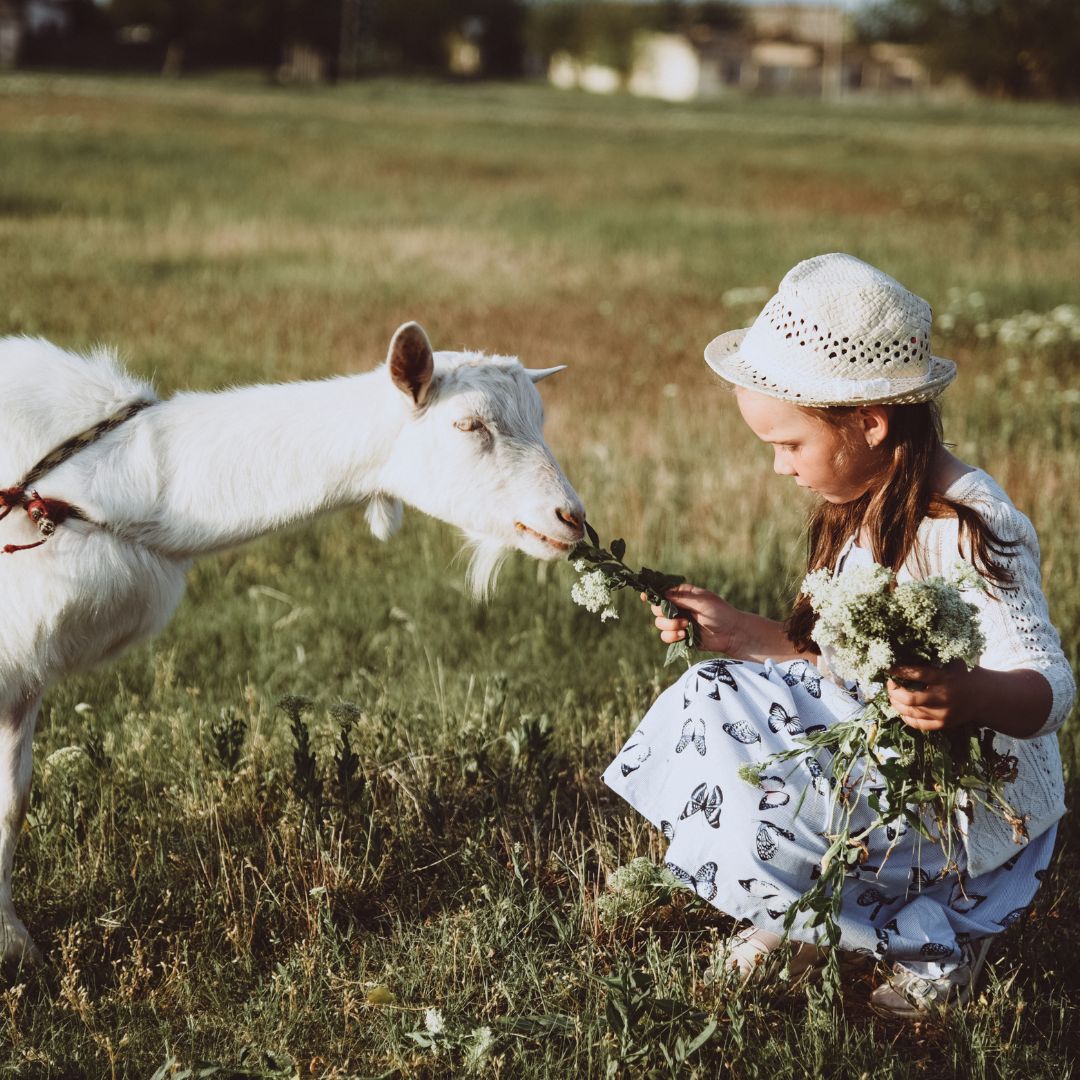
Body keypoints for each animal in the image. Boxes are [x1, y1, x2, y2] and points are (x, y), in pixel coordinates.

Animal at [0, 324, 583, 967]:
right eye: (468, 424)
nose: (571, 518)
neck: (99, 483)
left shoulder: (23, 674)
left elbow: (13, 800)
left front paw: (14, 943)